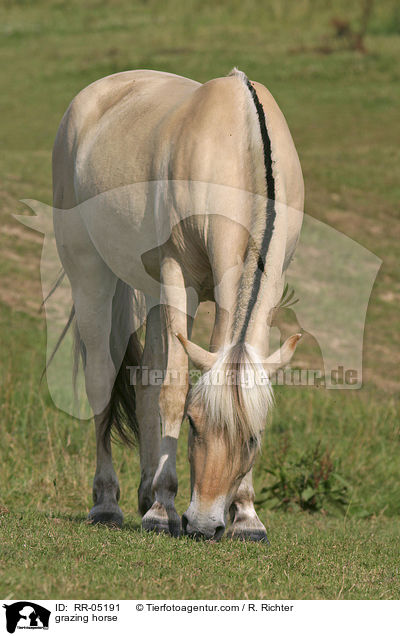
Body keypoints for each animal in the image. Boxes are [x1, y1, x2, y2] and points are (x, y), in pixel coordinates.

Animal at [52, 69, 304, 540]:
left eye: (253, 438)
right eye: (194, 423)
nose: (203, 524)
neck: (236, 144)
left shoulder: (265, 281)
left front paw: (246, 516)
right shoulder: (178, 277)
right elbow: (173, 389)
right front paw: (162, 511)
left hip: (151, 292)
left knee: (143, 380)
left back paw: (144, 492)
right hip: (91, 274)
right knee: (102, 381)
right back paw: (108, 503)